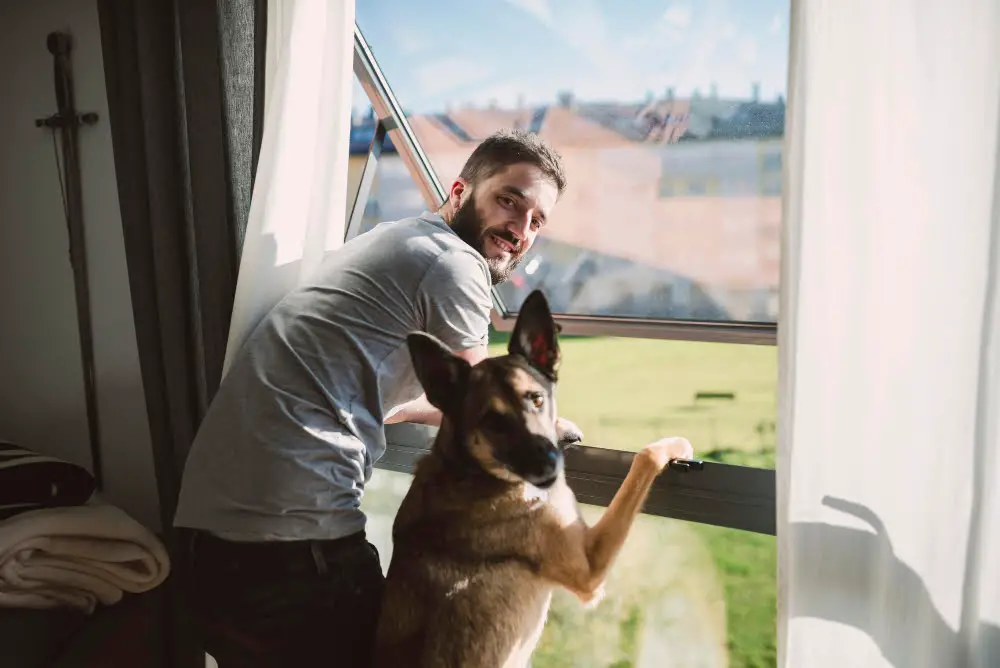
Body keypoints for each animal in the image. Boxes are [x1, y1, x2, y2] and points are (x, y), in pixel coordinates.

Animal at [372, 290, 692, 668]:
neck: (468, 468)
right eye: (493, 422)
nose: (549, 465)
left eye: (537, 399)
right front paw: (673, 445)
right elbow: (644, 460)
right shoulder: (590, 566)